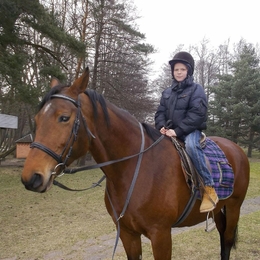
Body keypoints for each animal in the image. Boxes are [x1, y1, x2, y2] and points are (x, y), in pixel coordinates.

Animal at [21, 68, 250, 258]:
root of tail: (236, 149)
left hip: (234, 207)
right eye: (38, 119)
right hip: (220, 209)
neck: (135, 170)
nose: (31, 178)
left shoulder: (161, 235)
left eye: (64, 117)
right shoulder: (127, 233)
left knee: (227, 242)